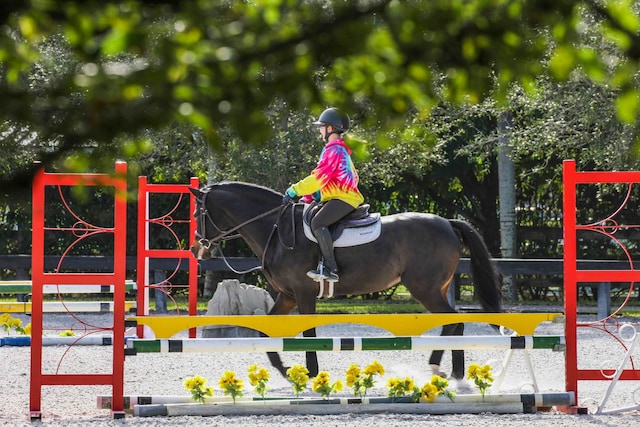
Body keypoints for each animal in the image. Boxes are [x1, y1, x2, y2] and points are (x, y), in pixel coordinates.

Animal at [188, 181, 502, 382]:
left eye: (197, 214)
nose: (196, 249)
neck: (277, 230)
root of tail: (448, 222)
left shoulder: (303, 294)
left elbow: (309, 334)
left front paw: (311, 373)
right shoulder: (287, 296)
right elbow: (266, 333)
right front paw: (285, 371)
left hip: (425, 288)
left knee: (453, 321)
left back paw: (444, 369)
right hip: (435, 288)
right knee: (453, 322)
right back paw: (449, 371)